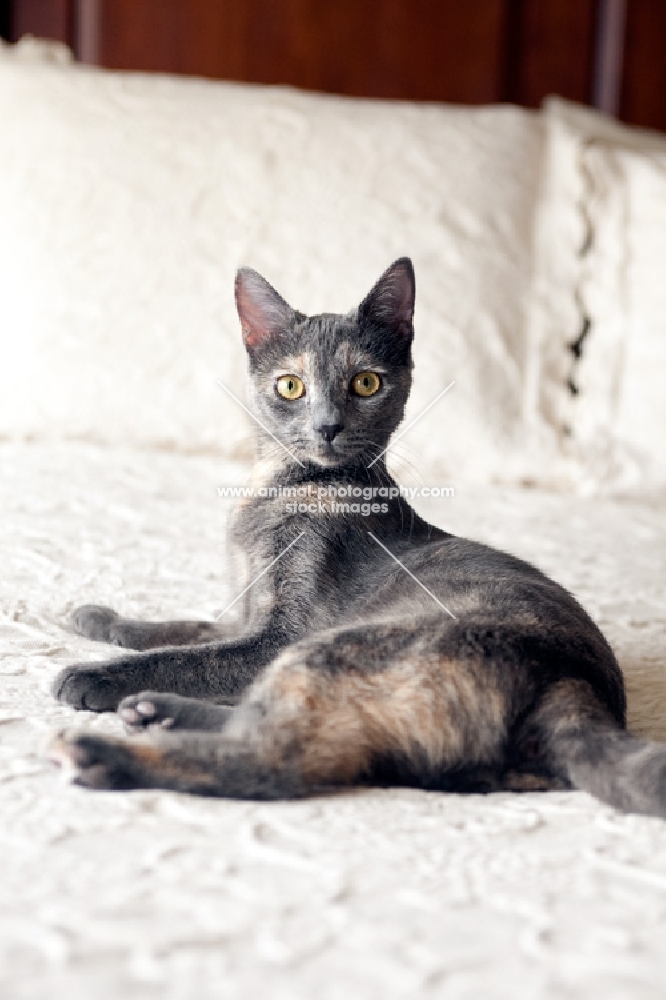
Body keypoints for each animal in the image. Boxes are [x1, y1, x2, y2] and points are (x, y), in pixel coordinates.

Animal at [49, 260, 664, 820]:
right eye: (290, 386)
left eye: (365, 382)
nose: (326, 426)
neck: (277, 490)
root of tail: (573, 686)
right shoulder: (248, 616)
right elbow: (184, 631)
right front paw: (100, 619)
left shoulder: (279, 635)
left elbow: (189, 658)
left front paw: (95, 674)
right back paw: (153, 714)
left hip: (330, 649)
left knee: (273, 762)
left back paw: (101, 753)